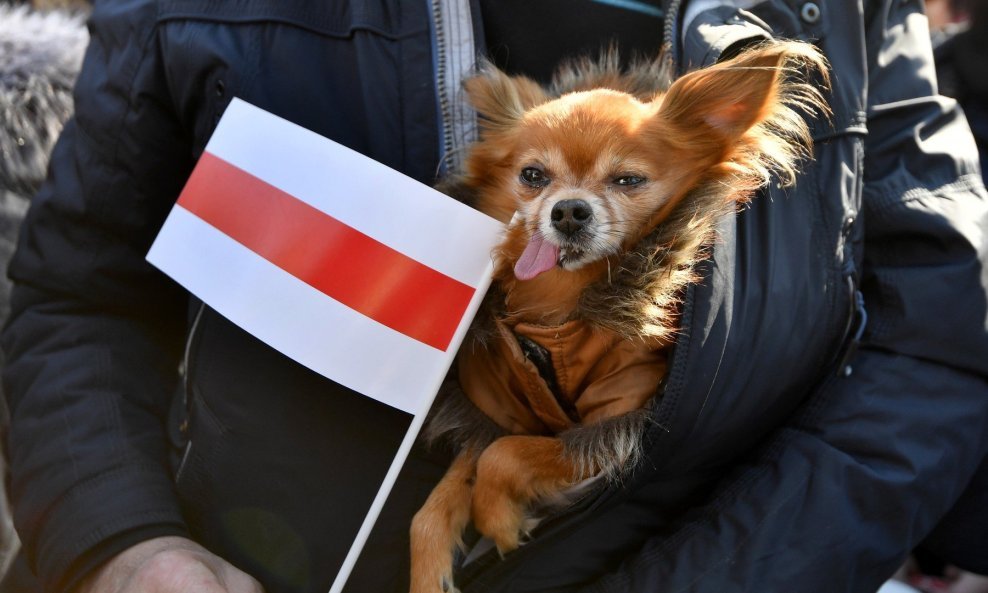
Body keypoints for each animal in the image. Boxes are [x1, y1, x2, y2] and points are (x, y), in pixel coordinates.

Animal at [410, 39, 824, 588]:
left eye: (628, 179)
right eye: (532, 175)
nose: (568, 209)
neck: (556, 314)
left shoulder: (614, 428)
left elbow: (506, 456)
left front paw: (500, 520)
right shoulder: (498, 412)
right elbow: (434, 507)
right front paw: (429, 567)